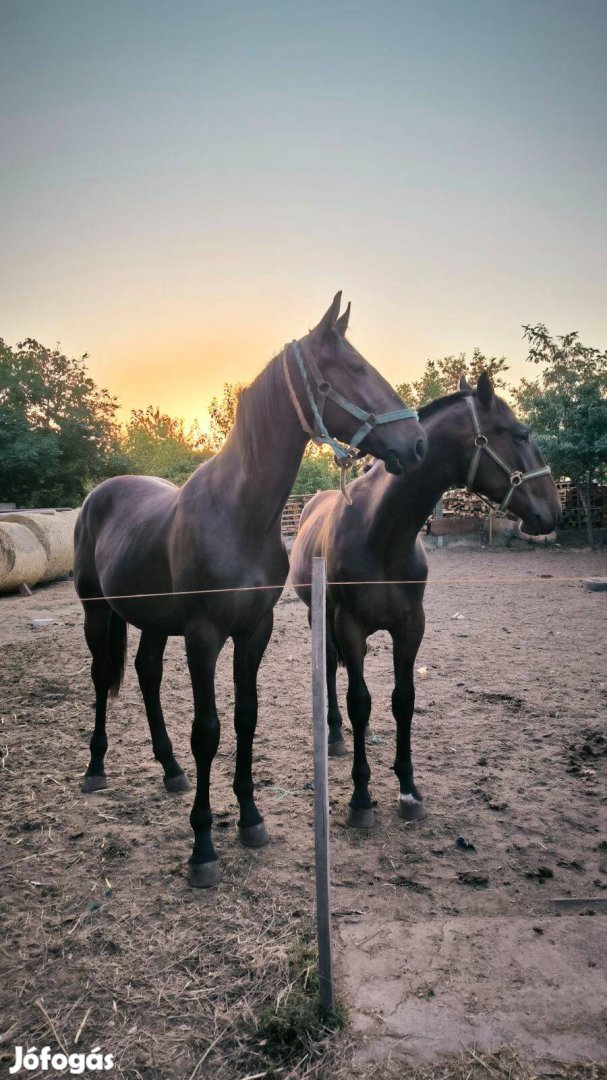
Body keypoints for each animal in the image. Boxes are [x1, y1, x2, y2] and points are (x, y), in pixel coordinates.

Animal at [291, 375, 561, 829]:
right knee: (327, 669)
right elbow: (359, 702)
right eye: (521, 434)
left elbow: (403, 701)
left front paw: (408, 789)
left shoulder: (410, 627)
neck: (381, 533)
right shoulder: (350, 626)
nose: (554, 512)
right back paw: (334, 734)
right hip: (320, 616)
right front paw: (361, 798)